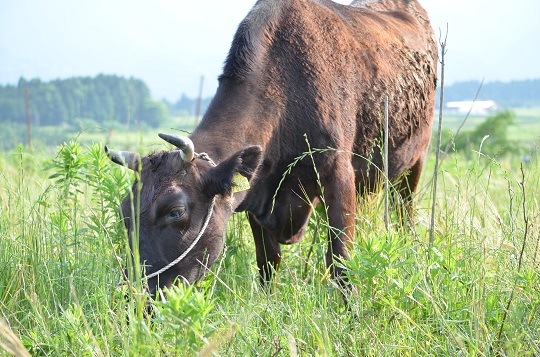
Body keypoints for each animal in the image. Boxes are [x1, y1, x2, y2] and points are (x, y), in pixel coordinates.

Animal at [106, 0, 438, 294]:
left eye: (175, 211)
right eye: (124, 211)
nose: (136, 295)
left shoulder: (339, 176)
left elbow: (341, 263)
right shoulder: (258, 197)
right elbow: (267, 264)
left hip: (416, 161)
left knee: (405, 213)